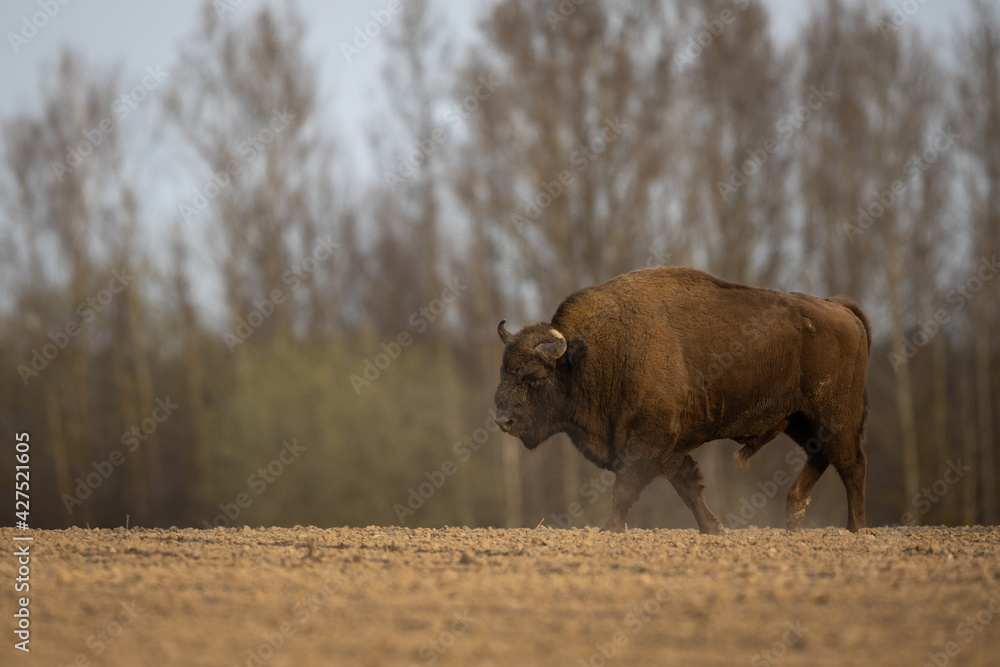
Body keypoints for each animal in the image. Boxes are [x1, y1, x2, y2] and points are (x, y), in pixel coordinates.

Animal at [494, 267, 870, 533]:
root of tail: (840, 308)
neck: (590, 354)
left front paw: (609, 529)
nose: (503, 420)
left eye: (534, 376)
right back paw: (794, 519)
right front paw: (713, 529)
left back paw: (855, 529)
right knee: (822, 454)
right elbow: (688, 486)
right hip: (800, 418)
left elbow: (626, 487)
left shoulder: (649, 439)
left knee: (851, 462)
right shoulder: (668, 448)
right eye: (503, 370)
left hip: (834, 414)